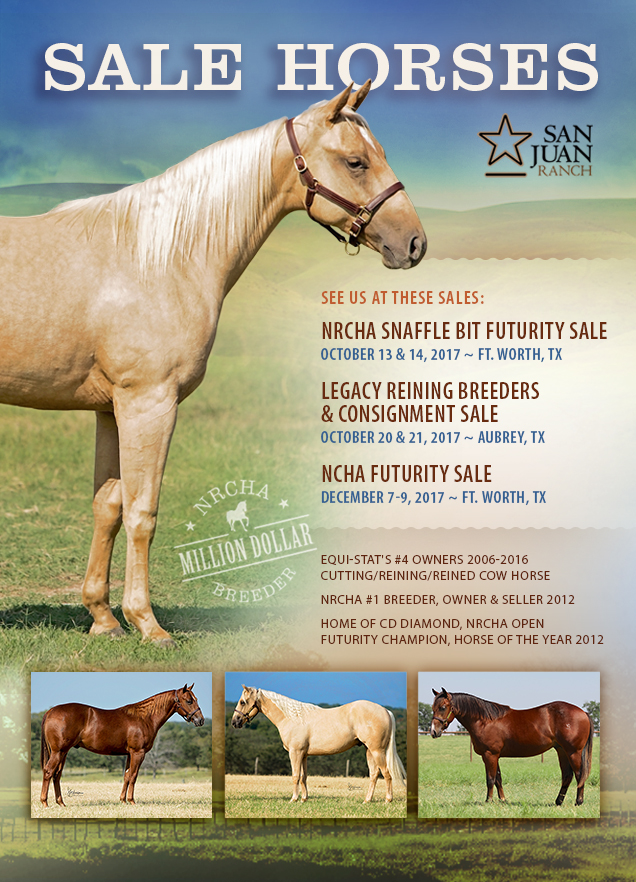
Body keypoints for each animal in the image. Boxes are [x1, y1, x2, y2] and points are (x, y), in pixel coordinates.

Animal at [0, 81, 425, 646]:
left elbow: (108, 506)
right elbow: (142, 512)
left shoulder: (111, 409)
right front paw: (147, 622)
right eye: (356, 162)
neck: (158, 257)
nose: (415, 243)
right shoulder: (149, 404)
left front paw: (103, 618)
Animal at [40, 684, 204, 807]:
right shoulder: (138, 753)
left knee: (56, 775)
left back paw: (61, 803)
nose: (200, 720)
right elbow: (133, 775)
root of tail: (50, 711)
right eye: (189, 701)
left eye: (196, 699)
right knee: (48, 772)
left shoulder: (129, 754)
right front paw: (131, 801)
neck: (144, 718)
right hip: (58, 752)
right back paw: (45, 802)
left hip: (63, 752)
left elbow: (126, 775)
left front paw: (123, 800)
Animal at [231, 685, 406, 803]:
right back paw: (367, 800)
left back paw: (388, 800)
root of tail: (385, 711)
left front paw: (294, 799)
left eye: (242, 702)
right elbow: (303, 776)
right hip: (369, 750)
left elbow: (295, 776)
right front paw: (304, 799)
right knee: (374, 774)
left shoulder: (295, 752)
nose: (234, 722)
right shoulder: (303, 754)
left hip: (377, 751)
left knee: (386, 773)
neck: (292, 718)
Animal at [430, 688, 594, 806]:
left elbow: (490, 779)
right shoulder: (492, 756)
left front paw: (488, 801)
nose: (433, 731)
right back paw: (558, 801)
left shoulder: (490, 754)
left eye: (443, 707)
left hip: (573, 752)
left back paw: (578, 802)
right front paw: (502, 800)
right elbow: (498, 778)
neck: (485, 721)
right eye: (433, 707)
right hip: (562, 751)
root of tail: (583, 712)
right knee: (567, 776)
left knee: (579, 775)